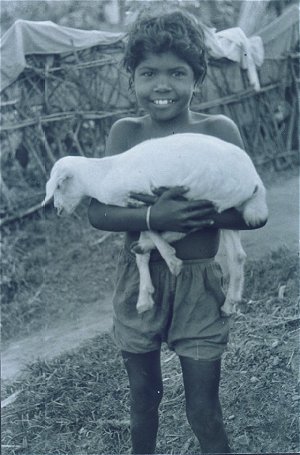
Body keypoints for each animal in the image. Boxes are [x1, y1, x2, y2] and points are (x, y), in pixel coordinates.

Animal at [41, 133, 268, 318]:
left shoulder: (143, 198)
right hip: (227, 207)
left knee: (191, 226)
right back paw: (229, 304)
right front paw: (144, 298)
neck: (101, 176)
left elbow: (150, 228)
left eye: (59, 186)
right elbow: (144, 242)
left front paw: (170, 260)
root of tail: (254, 181)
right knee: (237, 255)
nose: (58, 210)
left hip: (201, 194)